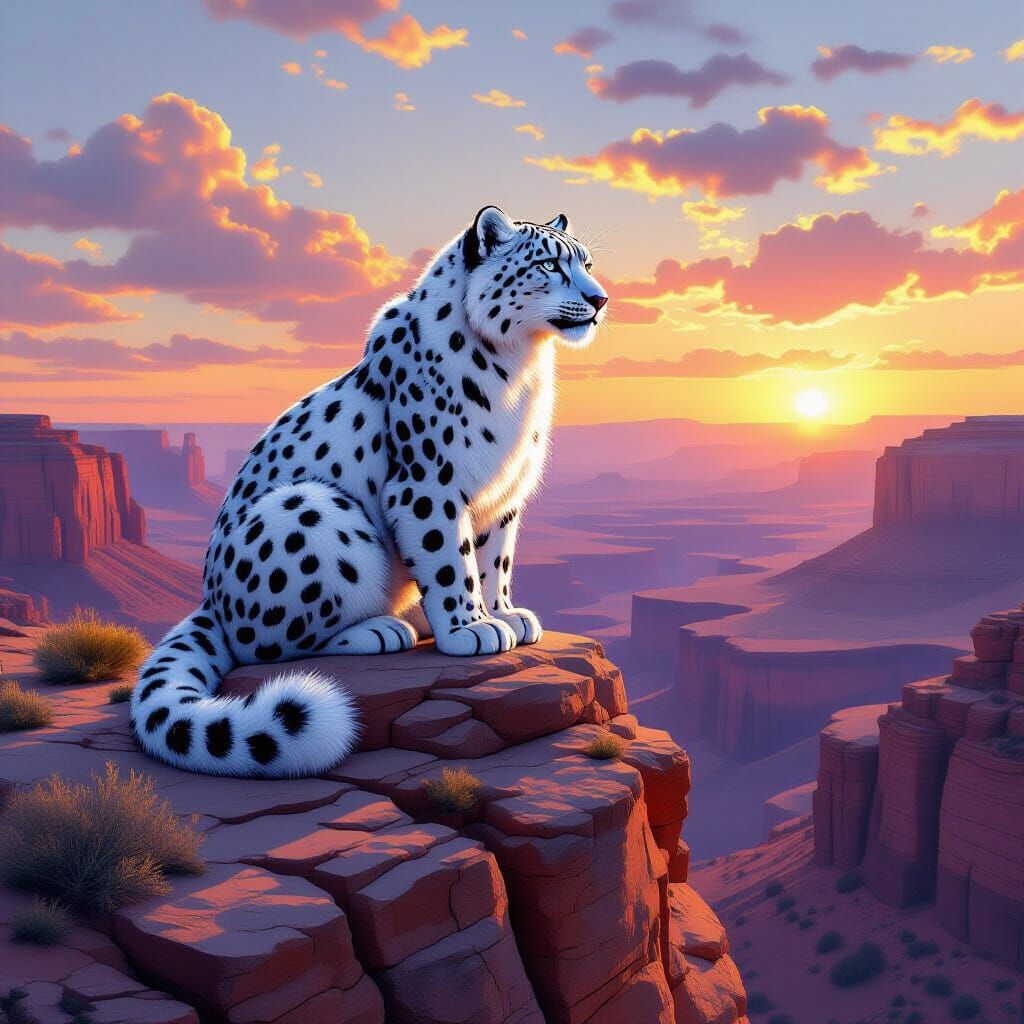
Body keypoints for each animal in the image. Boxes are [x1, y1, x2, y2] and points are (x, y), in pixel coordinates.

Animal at [130, 206, 608, 777]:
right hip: (306, 512)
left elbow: (494, 560)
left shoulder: (503, 495)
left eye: (586, 262)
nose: (601, 300)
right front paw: (470, 629)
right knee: (262, 646)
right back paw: (382, 629)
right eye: (548, 265)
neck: (520, 367)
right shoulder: (428, 483)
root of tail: (211, 599)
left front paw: (505, 613)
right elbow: (451, 562)